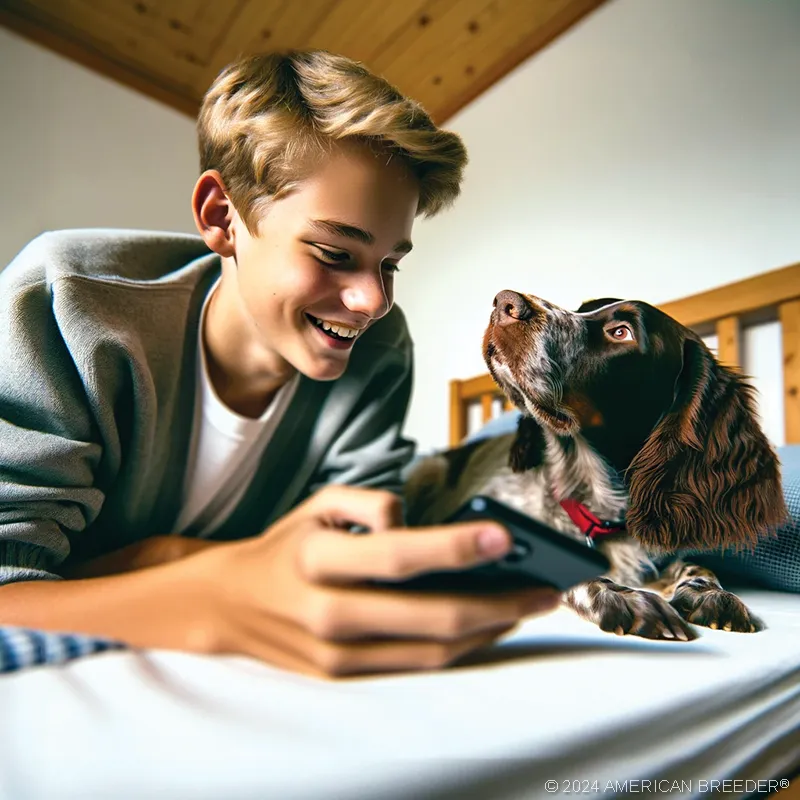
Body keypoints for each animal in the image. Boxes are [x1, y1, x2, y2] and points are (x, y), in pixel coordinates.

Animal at [406, 290, 788, 640]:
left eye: (621, 332)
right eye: (580, 310)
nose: (505, 303)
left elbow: (696, 565)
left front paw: (710, 593)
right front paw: (625, 597)